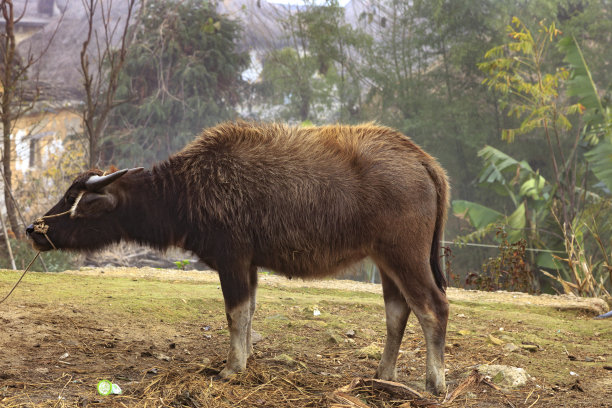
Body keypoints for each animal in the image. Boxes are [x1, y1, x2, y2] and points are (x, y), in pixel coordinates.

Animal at [27, 122, 450, 396]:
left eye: (72, 199)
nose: (33, 229)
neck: (186, 189)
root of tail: (424, 161)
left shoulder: (231, 258)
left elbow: (234, 314)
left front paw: (232, 369)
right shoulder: (250, 265)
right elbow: (249, 314)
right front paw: (246, 360)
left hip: (406, 256)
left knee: (433, 308)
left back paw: (435, 383)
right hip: (386, 261)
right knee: (398, 311)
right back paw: (383, 376)